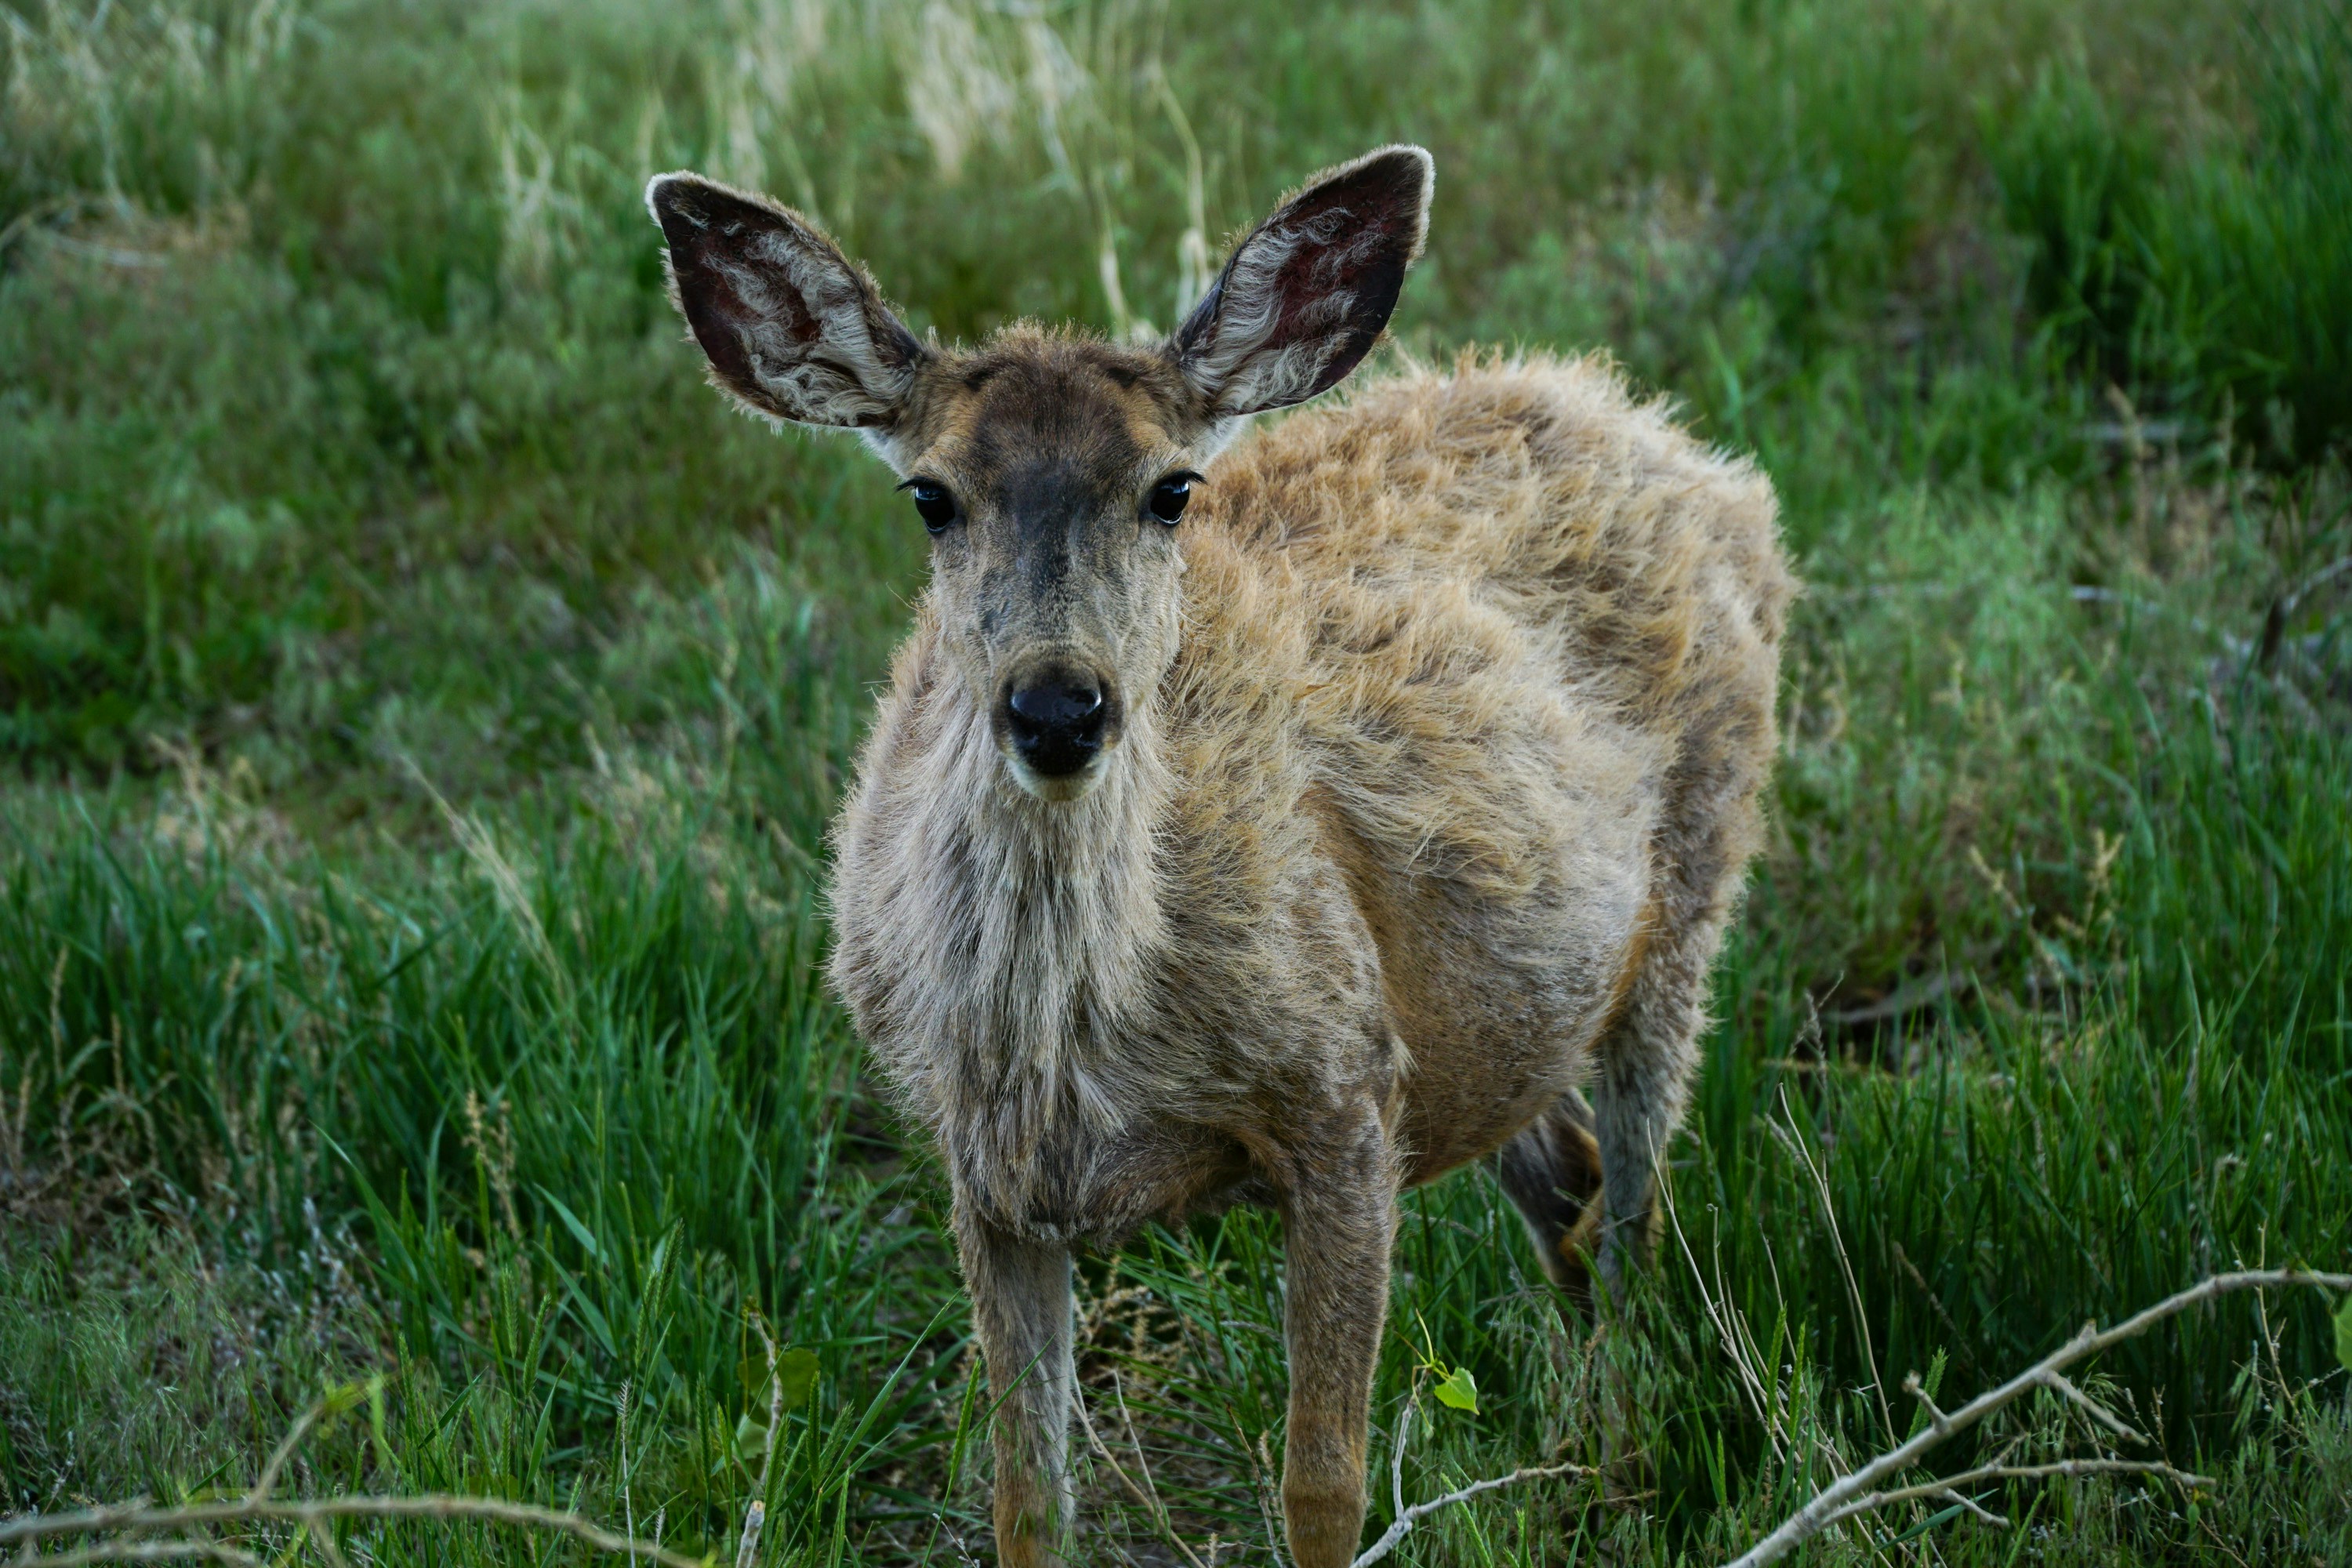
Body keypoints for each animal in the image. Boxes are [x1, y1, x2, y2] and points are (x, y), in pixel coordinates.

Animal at [647, 144, 1793, 1568]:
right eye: (930, 496)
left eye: (1171, 489)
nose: (1059, 706)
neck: (1078, 1050)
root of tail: (1658, 430)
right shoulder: (985, 1170)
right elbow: (1027, 1500)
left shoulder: (1344, 1091)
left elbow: (1323, 1488)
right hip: (1502, 1005)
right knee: (1568, 1179)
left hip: (1694, 871)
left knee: (1634, 1204)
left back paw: (1623, 1442)